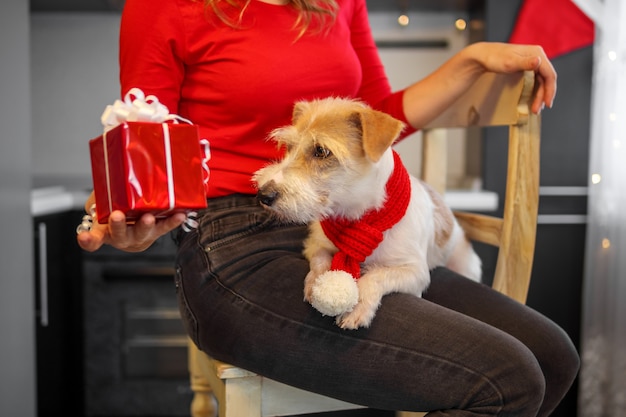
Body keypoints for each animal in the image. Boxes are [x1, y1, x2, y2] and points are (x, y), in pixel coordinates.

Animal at [251, 96, 480, 328]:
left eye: (321, 151)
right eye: (289, 147)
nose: (263, 194)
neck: (357, 215)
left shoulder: (415, 272)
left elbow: (375, 276)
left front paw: (358, 304)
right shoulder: (315, 245)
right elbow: (320, 259)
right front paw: (317, 282)